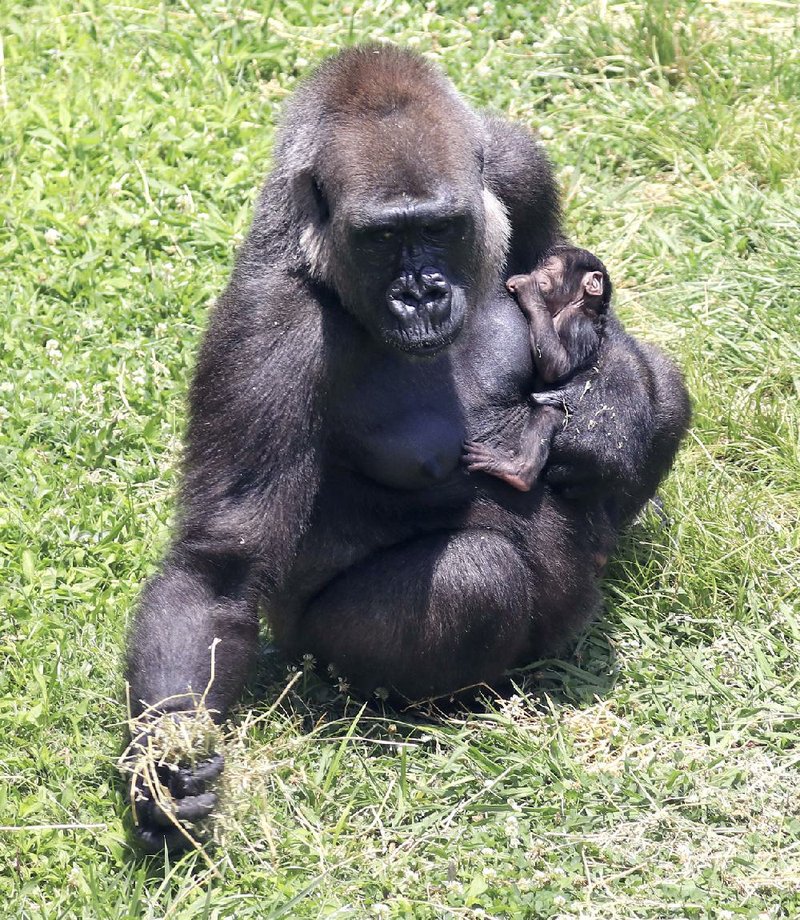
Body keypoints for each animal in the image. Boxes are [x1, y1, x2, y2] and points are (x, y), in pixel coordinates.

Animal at [462, 243, 608, 488]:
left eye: (549, 267)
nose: (535, 272)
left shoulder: (576, 323)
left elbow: (558, 367)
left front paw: (528, 289)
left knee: (546, 414)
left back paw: (517, 472)